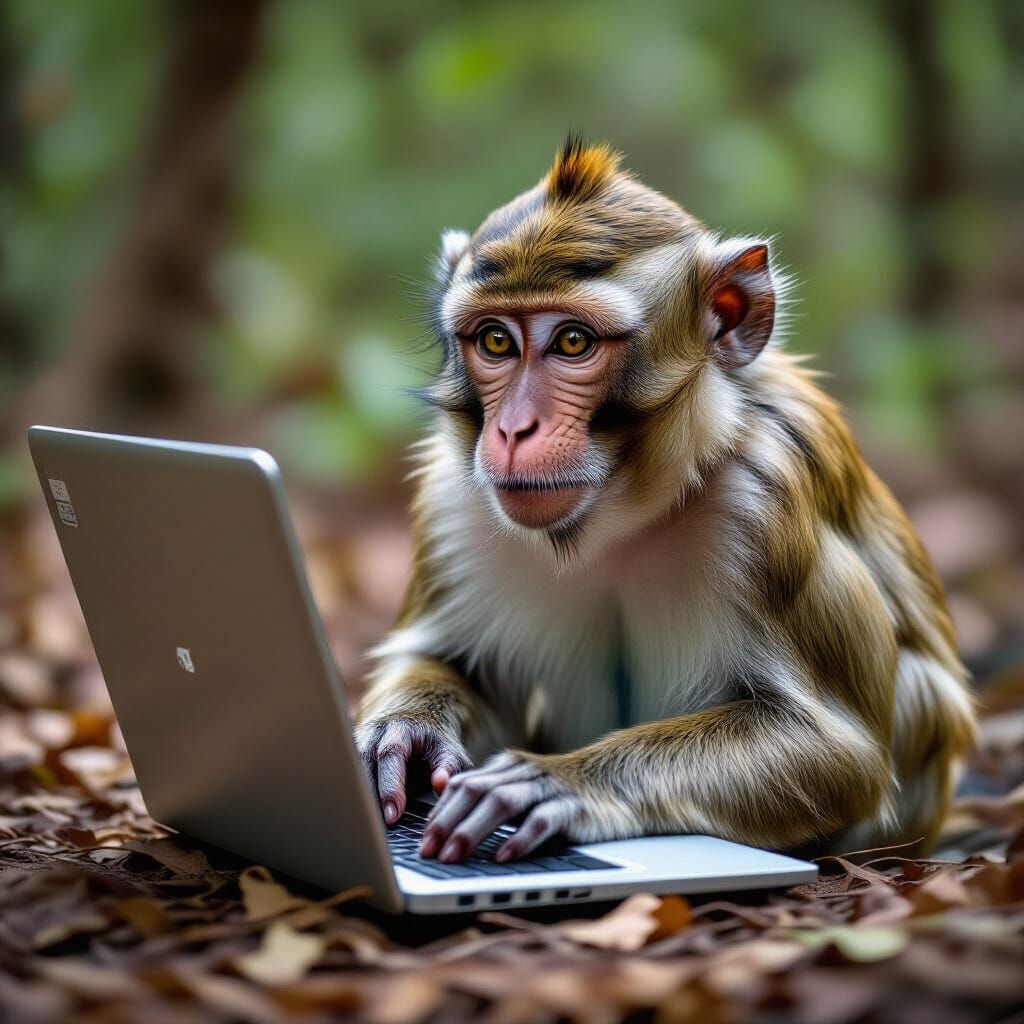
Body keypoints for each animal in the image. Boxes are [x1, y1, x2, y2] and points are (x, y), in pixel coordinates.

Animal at [356, 137, 976, 866]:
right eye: (496, 341)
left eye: (572, 341)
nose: (512, 430)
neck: (625, 514)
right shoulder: (453, 499)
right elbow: (449, 662)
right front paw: (401, 735)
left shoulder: (769, 494)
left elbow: (838, 753)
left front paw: (559, 781)